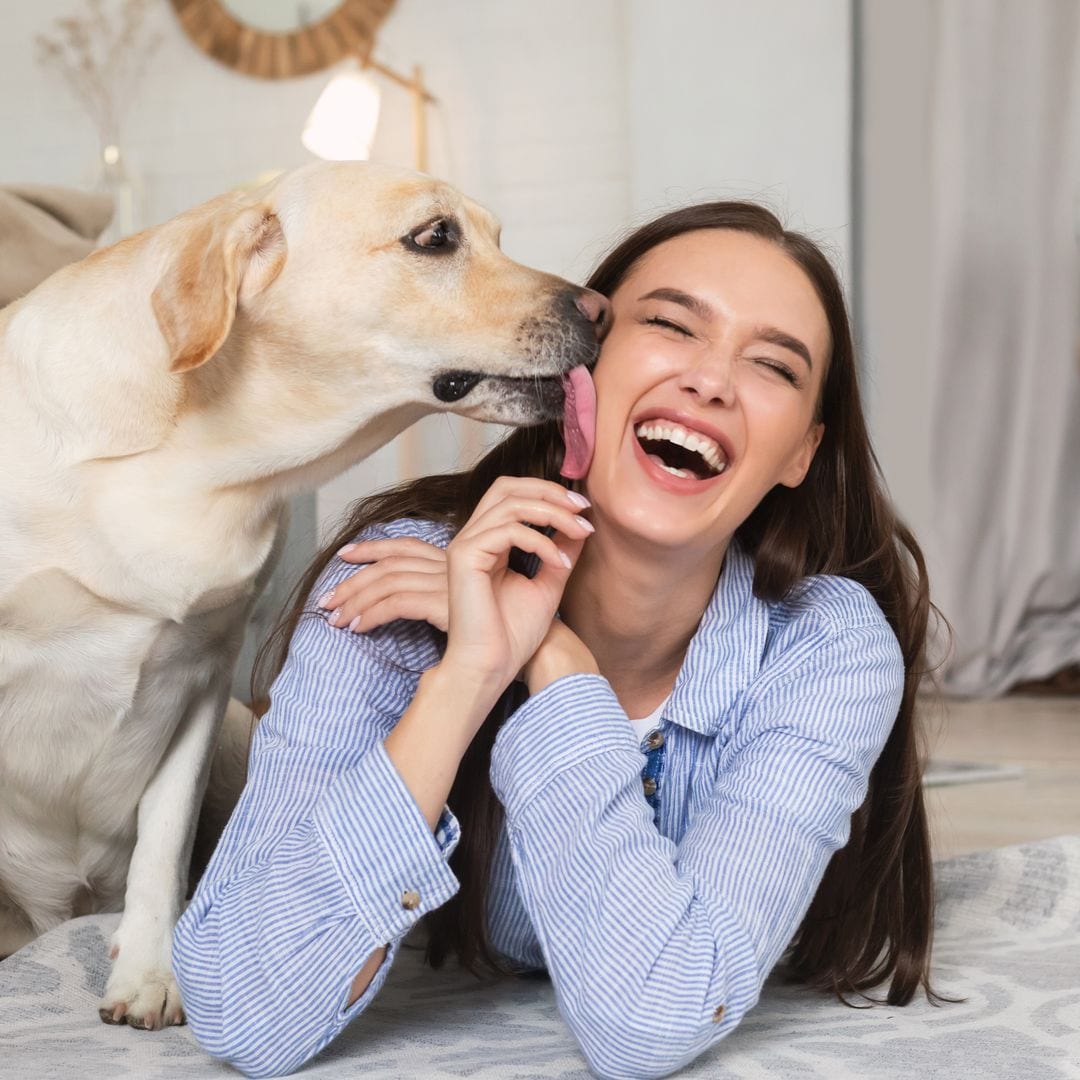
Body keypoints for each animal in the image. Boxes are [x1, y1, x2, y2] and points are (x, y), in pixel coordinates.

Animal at [0, 159, 609, 1028]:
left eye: (497, 235)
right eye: (435, 236)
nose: (603, 309)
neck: (197, 464)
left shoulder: (204, 673)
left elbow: (163, 843)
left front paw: (151, 972)